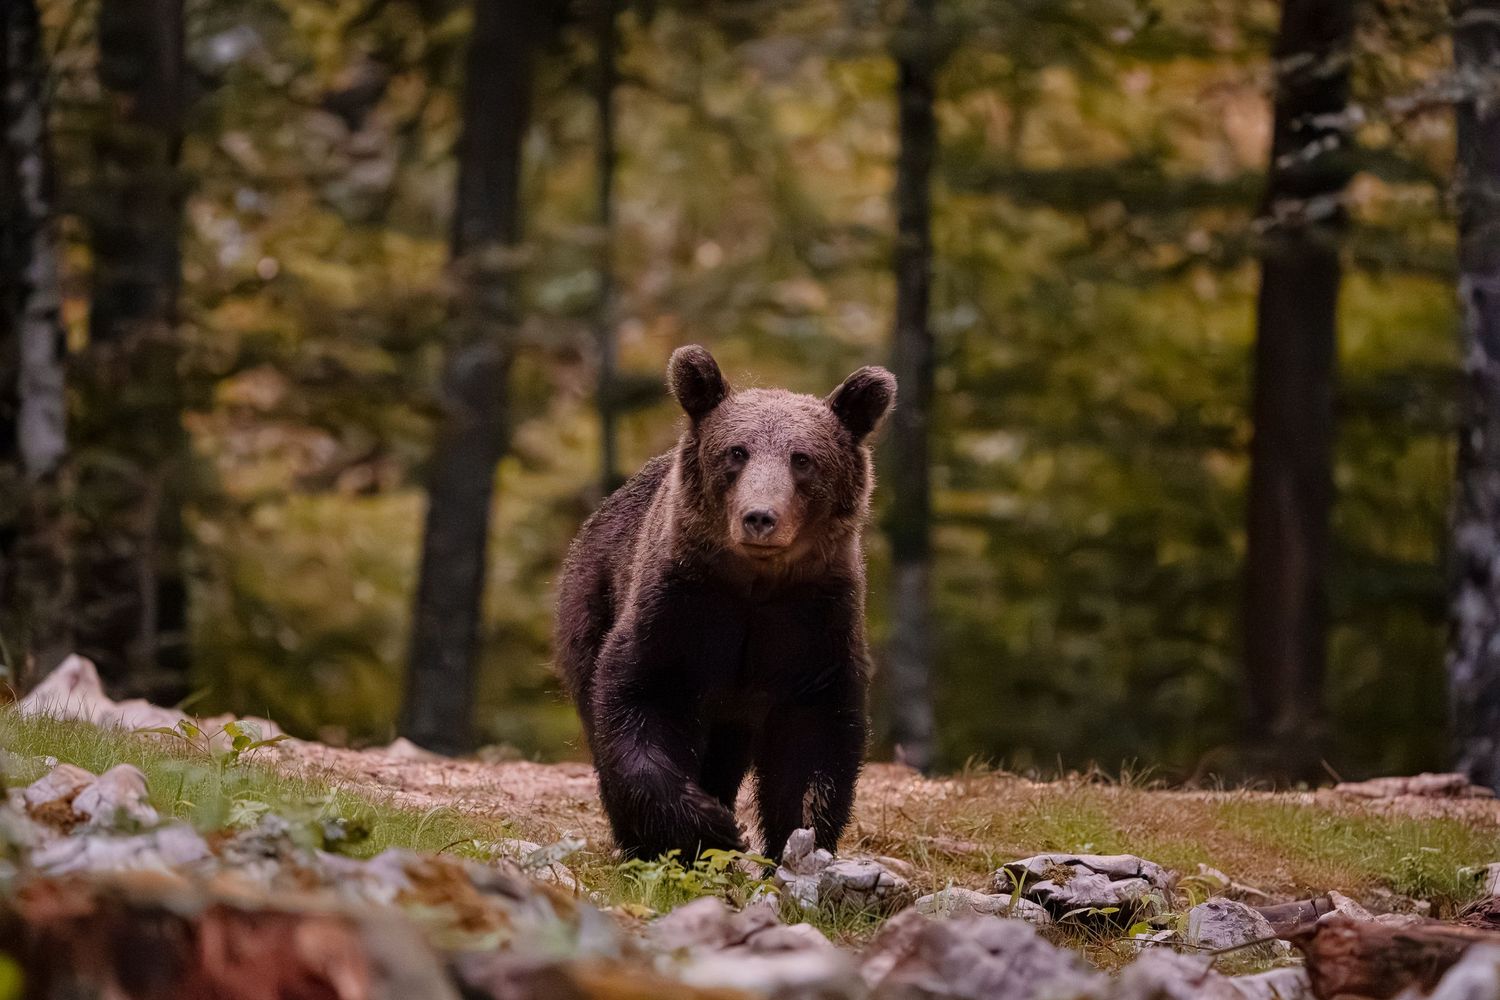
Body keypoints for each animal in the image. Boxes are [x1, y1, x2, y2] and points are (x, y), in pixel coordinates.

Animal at [554, 345, 896, 861]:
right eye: (737, 451)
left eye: (803, 459)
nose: (760, 517)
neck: (754, 587)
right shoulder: (680, 608)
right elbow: (640, 696)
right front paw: (708, 823)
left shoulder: (813, 623)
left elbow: (813, 740)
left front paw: (795, 841)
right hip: (590, 602)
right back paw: (639, 842)